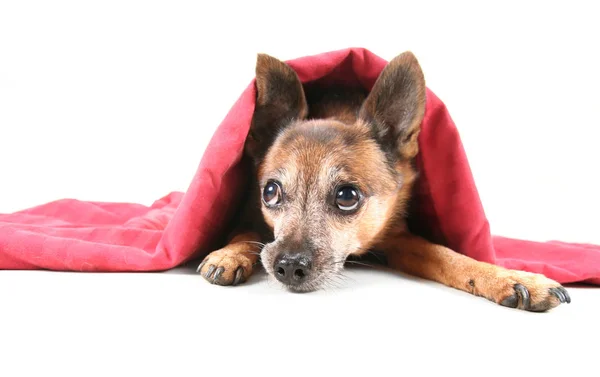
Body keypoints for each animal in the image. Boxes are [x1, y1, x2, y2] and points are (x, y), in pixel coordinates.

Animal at [197, 51, 572, 312]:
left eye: (347, 196)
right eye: (270, 192)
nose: (288, 266)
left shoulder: (398, 239)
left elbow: (448, 256)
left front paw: (509, 278)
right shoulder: (247, 212)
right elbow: (245, 234)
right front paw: (228, 255)